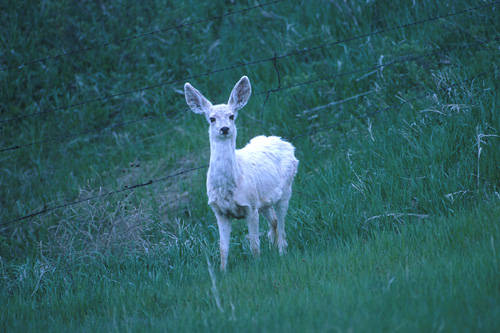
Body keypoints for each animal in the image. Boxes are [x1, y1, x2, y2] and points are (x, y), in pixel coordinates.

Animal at [186, 76, 298, 270]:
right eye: (211, 118)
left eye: (231, 116)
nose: (224, 128)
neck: (229, 186)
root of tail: (285, 143)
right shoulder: (220, 211)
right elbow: (223, 248)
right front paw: (222, 271)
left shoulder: (250, 206)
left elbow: (254, 244)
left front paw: (258, 265)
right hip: (265, 201)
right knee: (274, 221)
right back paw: (274, 247)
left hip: (285, 190)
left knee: (282, 223)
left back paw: (282, 252)